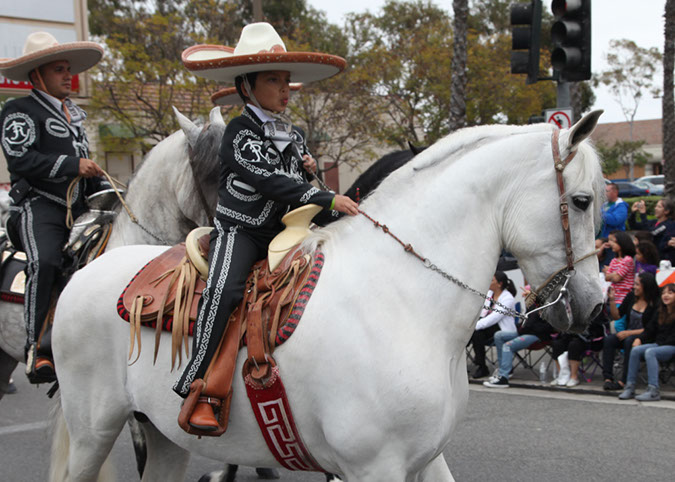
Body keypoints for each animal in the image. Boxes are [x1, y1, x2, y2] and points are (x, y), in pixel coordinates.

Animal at [50, 111, 604, 480]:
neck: (401, 300)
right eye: (582, 201)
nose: (595, 307)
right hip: (93, 431)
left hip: (163, 437)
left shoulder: (425, 460)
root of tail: (86, 272)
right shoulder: (373, 467)